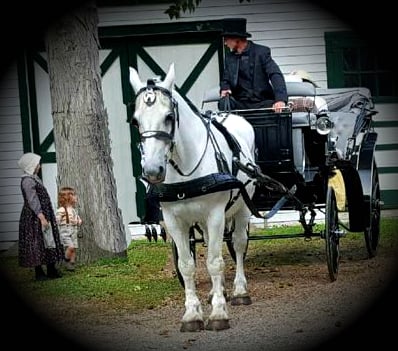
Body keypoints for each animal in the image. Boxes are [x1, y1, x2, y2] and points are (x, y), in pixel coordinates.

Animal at [129, 64, 256, 332]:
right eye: (135, 121)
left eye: (169, 116)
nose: (152, 171)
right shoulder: (174, 220)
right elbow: (187, 266)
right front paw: (192, 313)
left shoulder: (216, 214)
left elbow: (215, 262)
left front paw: (218, 313)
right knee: (210, 245)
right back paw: (217, 292)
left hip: (242, 208)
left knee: (238, 243)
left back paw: (239, 290)